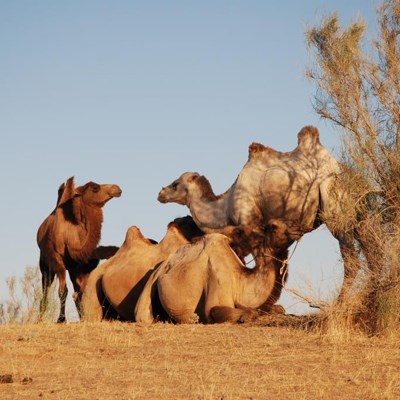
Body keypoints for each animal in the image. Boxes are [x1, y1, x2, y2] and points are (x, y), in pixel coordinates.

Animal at [36, 177, 121, 324]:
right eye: (95, 188)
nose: (116, 188)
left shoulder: (80, 265)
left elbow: (81, 291)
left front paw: (84, 318)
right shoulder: (58, 262)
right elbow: (63, 292)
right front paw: (61, 320)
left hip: (71, 269)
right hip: (45, 264)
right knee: (46, 288)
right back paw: (40, 318)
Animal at [136, 217, 290, 324]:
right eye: (274, 228)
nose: (290, 227)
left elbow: (278, 308)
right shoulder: (218, 283)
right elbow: (215, 310)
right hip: (148, 290)